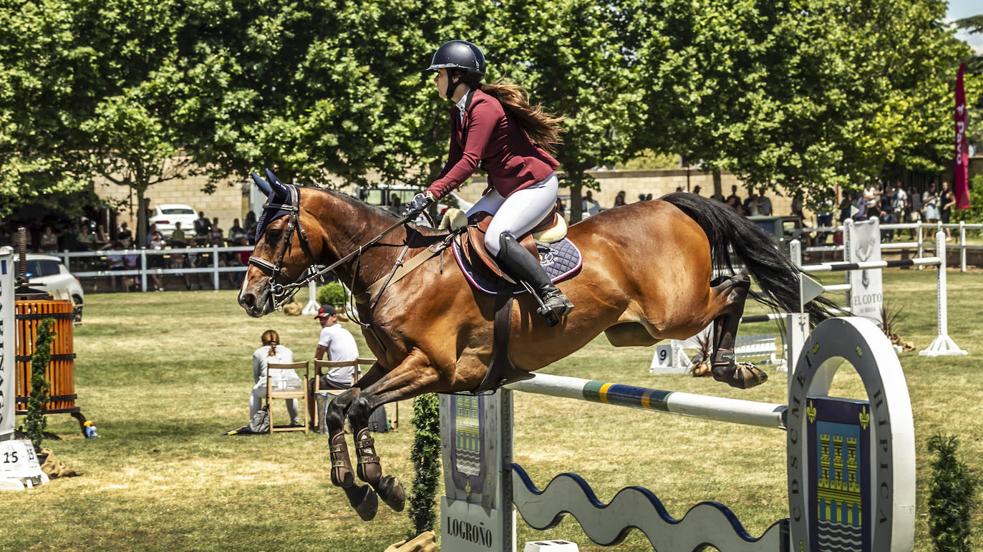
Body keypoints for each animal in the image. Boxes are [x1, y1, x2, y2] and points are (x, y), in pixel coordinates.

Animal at [238, 175, 832, 520]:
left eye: (275, 233)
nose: (248, 297)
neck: (397, 268)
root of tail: (668, 203)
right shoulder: (388, 364)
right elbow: (344, 405)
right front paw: (360, 486)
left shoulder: (432, 369)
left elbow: (359, 406)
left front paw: (380, 484)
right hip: (635, 327)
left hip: (672, 312)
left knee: (736, 286)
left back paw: (732, 367)